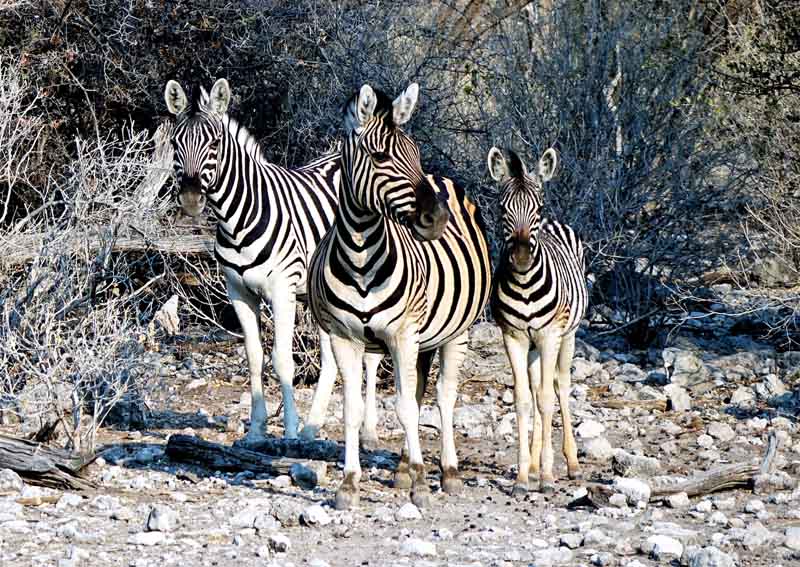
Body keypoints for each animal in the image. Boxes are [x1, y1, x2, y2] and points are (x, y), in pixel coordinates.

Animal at [163, 78, 382, 444]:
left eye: (215, 142)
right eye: (175, 143)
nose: (191, 199)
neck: (237, 217)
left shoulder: (282, 289)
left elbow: (282, 360)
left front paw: (289, 430)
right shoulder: (238, 291)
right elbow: (254, 357)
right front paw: (256, 429)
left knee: (372, 354)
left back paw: (365, 433)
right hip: (323, 293)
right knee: (331, 359)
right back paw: (312, 427)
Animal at [308, 83, 492, 510]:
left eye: (416, 152)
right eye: (380, 156)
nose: (436, 219)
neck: (360, 258)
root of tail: (443, 179)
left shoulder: (402, 334)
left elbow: (406, 408)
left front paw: (423, 485)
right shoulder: (344, 338)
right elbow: (353, 409)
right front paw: (349, 485)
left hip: (455, 333)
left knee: (442, 397)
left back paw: (448, 472)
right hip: (425, 338)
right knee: (421, 392)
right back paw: (404, 469)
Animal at [487, 146, 588, 494]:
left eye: (539, 206)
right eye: (501, 208)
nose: (520, 258)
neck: (524, 284)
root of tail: (555, 224)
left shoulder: (549, 335)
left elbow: (546, 399)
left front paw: (545, 477)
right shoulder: (514, 336)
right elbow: (523, 400)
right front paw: (522, 476)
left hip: (567, 336)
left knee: (560, 386)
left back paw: (570, 464)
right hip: (533, 346)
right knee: (534, 388)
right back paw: (531, 465)